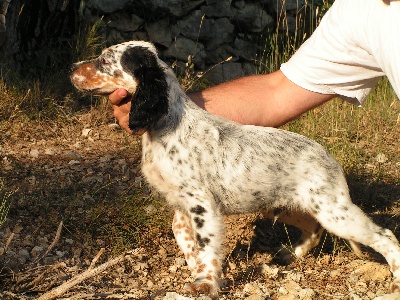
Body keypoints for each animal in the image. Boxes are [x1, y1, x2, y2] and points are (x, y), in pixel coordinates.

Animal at [70, 40, 400, 298]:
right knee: (314, 229)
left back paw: (395, 278)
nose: (71, 69)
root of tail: (328, 157)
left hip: (335, 211)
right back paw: (289, 254)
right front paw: (201, 272)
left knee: (385, 236)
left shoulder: (202, 204)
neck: (165, 125)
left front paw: (205, 283)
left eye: (103, 60)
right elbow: (186, 239)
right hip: (290, 206)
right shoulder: (182, 206)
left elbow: (206, 245)